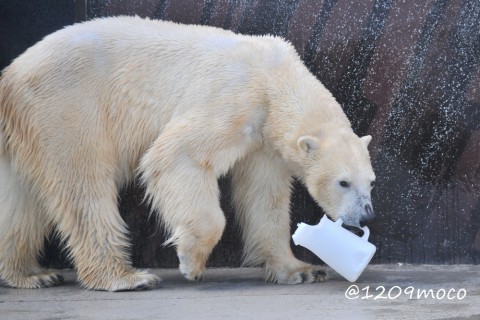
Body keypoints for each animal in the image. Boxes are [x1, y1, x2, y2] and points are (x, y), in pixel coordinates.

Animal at [0, 18, 376, 292]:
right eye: (343, 182)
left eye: (371, 182)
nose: (366, 216)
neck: (276, 77)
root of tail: (11, 77)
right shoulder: (235, 96)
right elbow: (177, 156)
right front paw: (191, 263)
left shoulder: (263, 136)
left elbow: (264, 195)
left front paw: (301, 269)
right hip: (66, 106)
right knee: (84, 184)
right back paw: (126, 277)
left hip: (29, 127)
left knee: (21, 200)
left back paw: (32, 274)